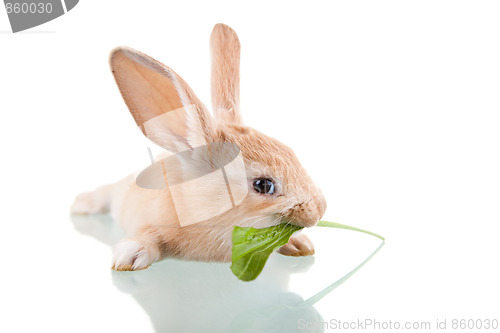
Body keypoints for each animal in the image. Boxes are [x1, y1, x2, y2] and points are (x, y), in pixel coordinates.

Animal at [71, 24, 328, 272]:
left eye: (291, 152)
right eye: (264, 185)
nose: (319, 210)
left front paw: (300, 244)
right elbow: (149, 235)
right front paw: (129, 256)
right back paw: (81, 204)